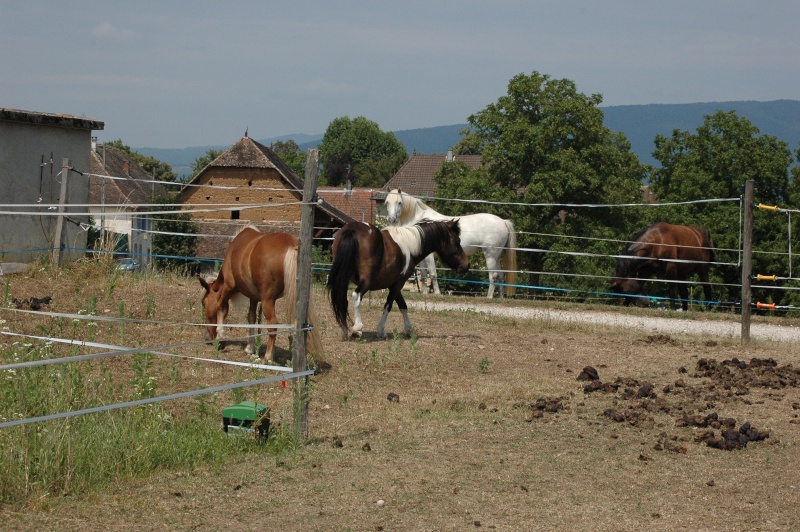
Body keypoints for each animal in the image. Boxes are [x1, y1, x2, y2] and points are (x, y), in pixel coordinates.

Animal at [198, 227, 322, 364]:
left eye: (204, 303)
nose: (207, 338)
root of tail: (291, 245)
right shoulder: (253, 297)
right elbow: (251, 318)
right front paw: (250, 348)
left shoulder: (228, 286)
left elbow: (220, 307)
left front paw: (220, 337)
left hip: (267, 300)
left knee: (273, 325)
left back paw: (268, 358)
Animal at [328, 221, 472, 340]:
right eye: (457, 241)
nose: (466, 265)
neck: (409, 246)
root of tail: (352, 230)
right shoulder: (398, 284)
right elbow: (389, 305)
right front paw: (381, 330)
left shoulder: (394, 284)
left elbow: (402, 305)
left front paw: (410, 330)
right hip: (365, 282)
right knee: (356, 295)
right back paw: (357, 329)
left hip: (343, 278)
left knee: (341, 298)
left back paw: (344, 329)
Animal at [386, 188, 520, 298]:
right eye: (387, 202)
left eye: (399, 202)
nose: (391, 219)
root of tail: (503, 221)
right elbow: (423, 275)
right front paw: (424, 293)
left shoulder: (429, 257)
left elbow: (432, 274)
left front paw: (437, 293)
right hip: (497, 256)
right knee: (501, 275)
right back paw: (500, 298)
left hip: (490, 255)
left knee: (493, 275)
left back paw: (489, 297)